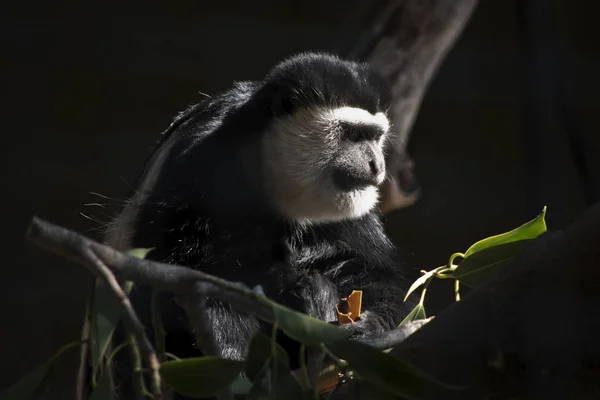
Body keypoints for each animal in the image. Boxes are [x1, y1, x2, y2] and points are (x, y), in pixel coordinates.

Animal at [106, 51, 418, 392]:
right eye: (353, 134)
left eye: (376, 136)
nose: (378, 166)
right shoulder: (198, 157)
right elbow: (182, 271)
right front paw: (229, 356)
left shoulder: (353, 205)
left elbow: (372, 270)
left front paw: (369, 325)